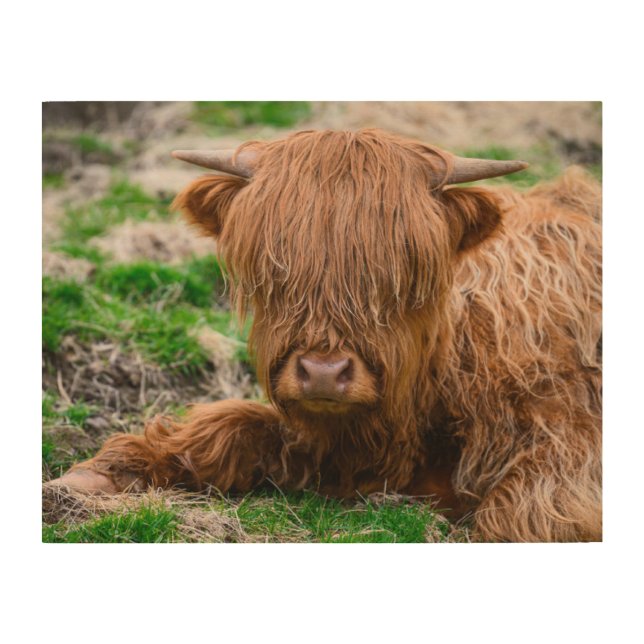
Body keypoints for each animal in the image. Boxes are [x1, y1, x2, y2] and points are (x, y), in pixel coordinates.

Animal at [49, 128, 602, 542]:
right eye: (275, 271)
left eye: (401, 275)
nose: (322, 374)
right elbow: (229, 425)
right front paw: (94, 477)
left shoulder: (565, 453)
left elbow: (519, 518)